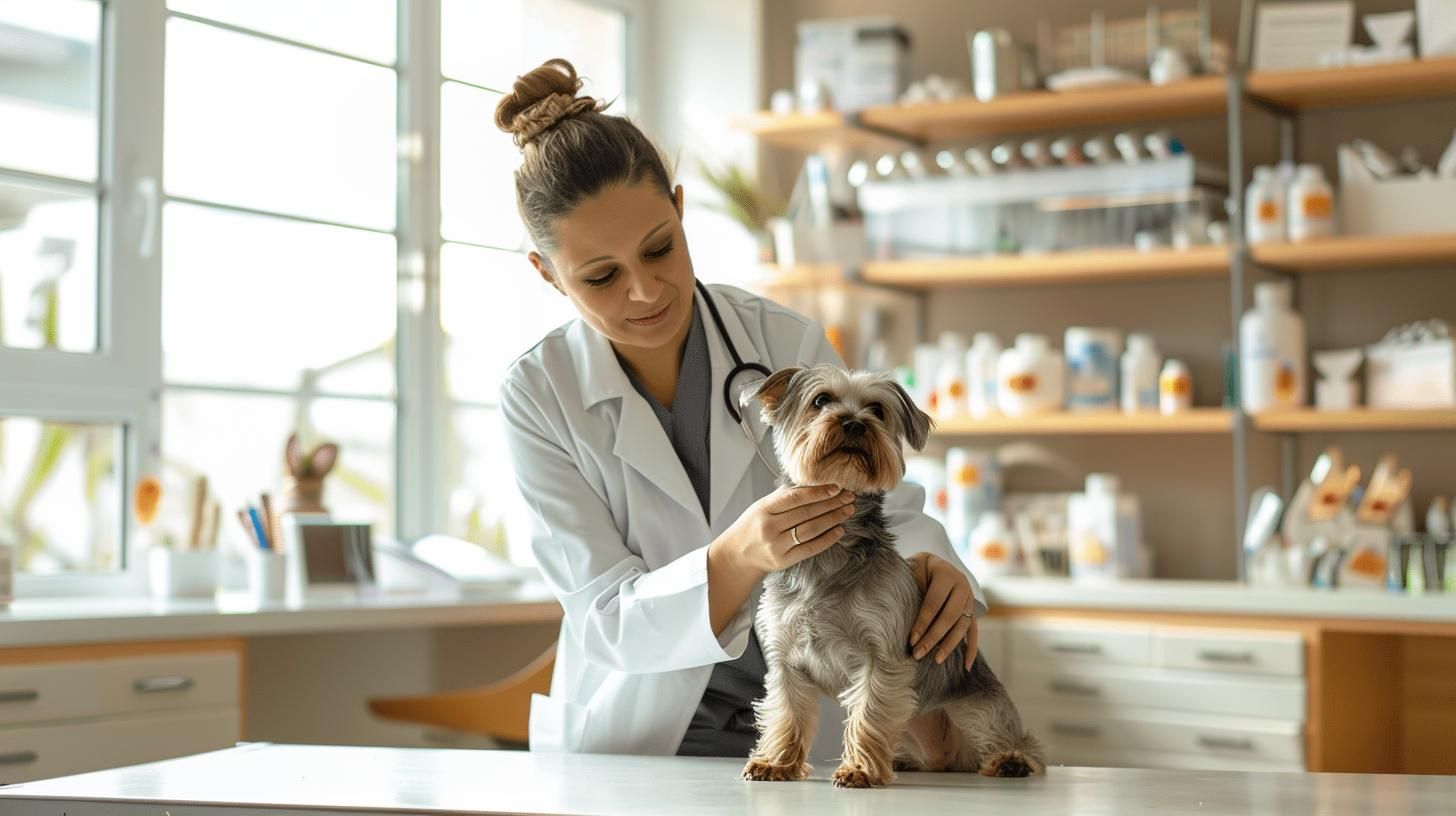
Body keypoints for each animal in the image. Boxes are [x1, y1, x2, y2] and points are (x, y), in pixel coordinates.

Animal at [745, 367, 1042, 786]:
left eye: (877, 410)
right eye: (820, 401)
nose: (854, 423)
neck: (834, 551)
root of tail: (947, 757)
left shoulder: (881, 651)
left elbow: (869, 712)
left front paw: (859, 770)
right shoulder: (786, 658)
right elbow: (787, 714)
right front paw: (776, 763)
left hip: (977, 708)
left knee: (1013, 739)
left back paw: (1010, 760)